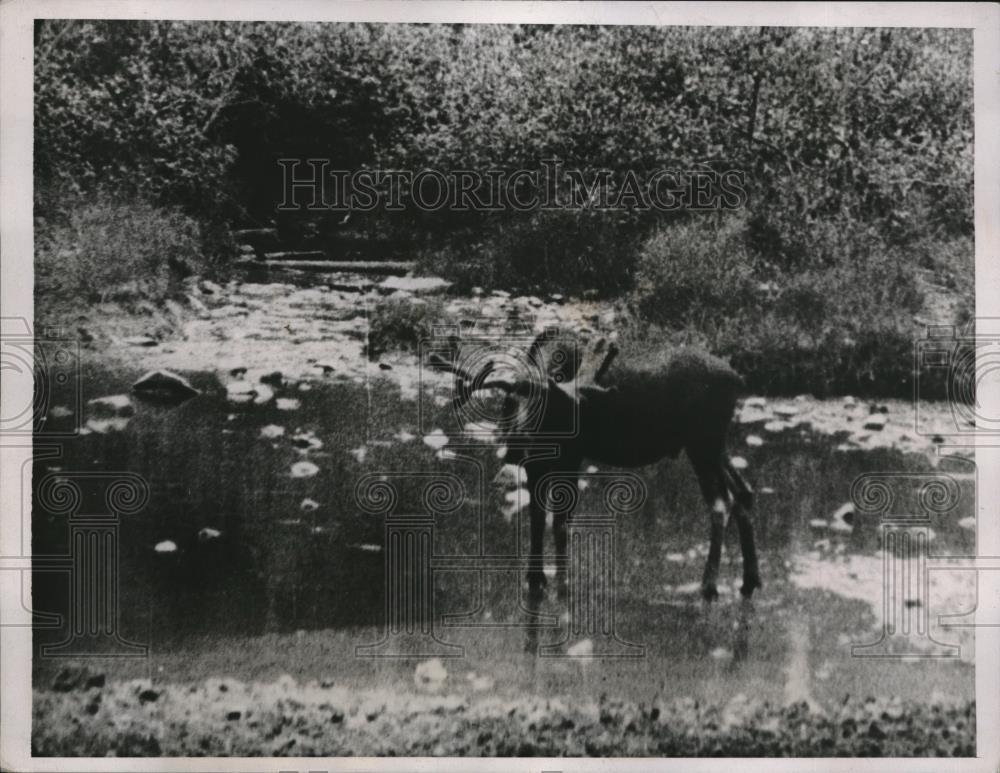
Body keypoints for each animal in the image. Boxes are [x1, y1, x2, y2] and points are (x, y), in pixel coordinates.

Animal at [426, 328, 760, 600]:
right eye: (507, 403)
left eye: (541, 406)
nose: (516, 447)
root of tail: (739, 381)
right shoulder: (537, 465)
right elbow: (537, 518)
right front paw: (535, 579)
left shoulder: (572, 456)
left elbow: (561, 521)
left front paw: (562, 583)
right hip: (715, 445)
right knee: (744, 492)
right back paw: (750, 580)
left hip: (703, 443)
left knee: (721, 503)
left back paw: (709, 585)